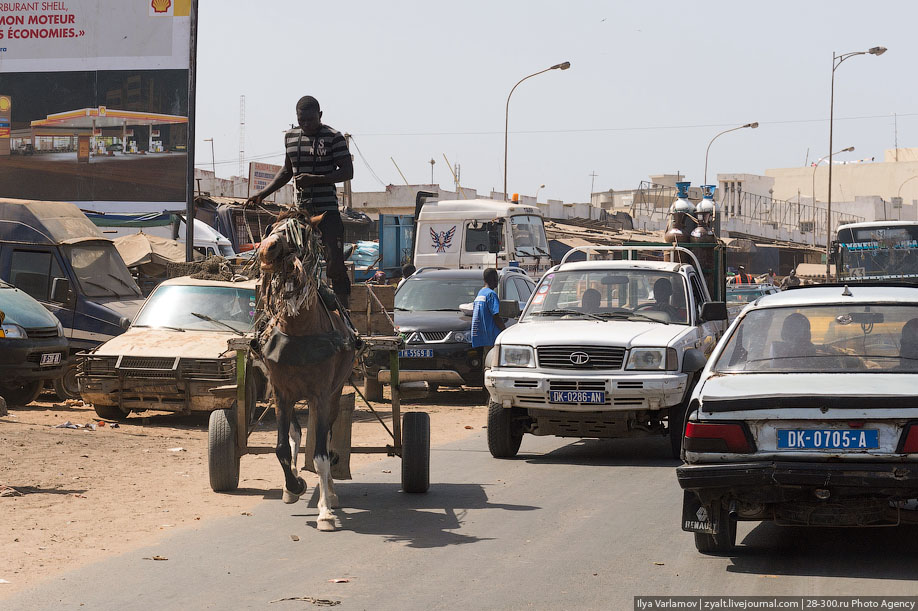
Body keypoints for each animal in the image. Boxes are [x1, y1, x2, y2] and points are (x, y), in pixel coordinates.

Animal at [260, 210, 362, 532]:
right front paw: (293, 486)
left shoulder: (321, 394)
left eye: (300, 233)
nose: (267, 248)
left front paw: (325, 512)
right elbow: (282, 447)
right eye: (271, 227)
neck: (298, 330)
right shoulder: (281, 394)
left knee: (325, 439)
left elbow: (320, 454)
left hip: (333, 395)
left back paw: (330, 492)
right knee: (296, 433)